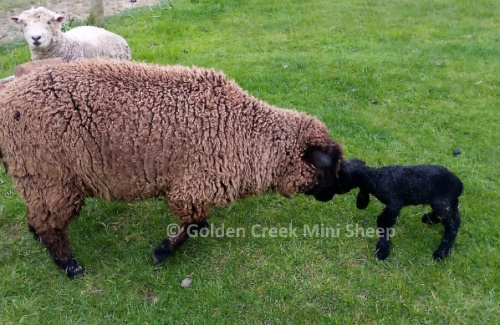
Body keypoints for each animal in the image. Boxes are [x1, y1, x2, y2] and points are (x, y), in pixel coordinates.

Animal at [0, 59, 344, 278]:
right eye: (328, 169)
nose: (336, 193)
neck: (246, 131)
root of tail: (7, 101)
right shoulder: (190, 185)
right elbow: (192, 223)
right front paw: (162, 252)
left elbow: (199, 223)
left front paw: (168, 248)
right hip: (50, 176)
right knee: (50, 224)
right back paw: (70, 267)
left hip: (34, 177)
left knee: (38, 215)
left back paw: (38, 237)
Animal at [334, 158, 462, 260]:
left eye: (340, 176)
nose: (335, 190)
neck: (377, 178)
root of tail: (459, 184)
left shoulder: (394, 203)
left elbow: (384, 222)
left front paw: (382, 250)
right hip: (449, 202)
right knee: (455, 218)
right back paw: (428, 219)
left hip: (442, 203)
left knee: (452, 226)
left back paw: (441, 252)